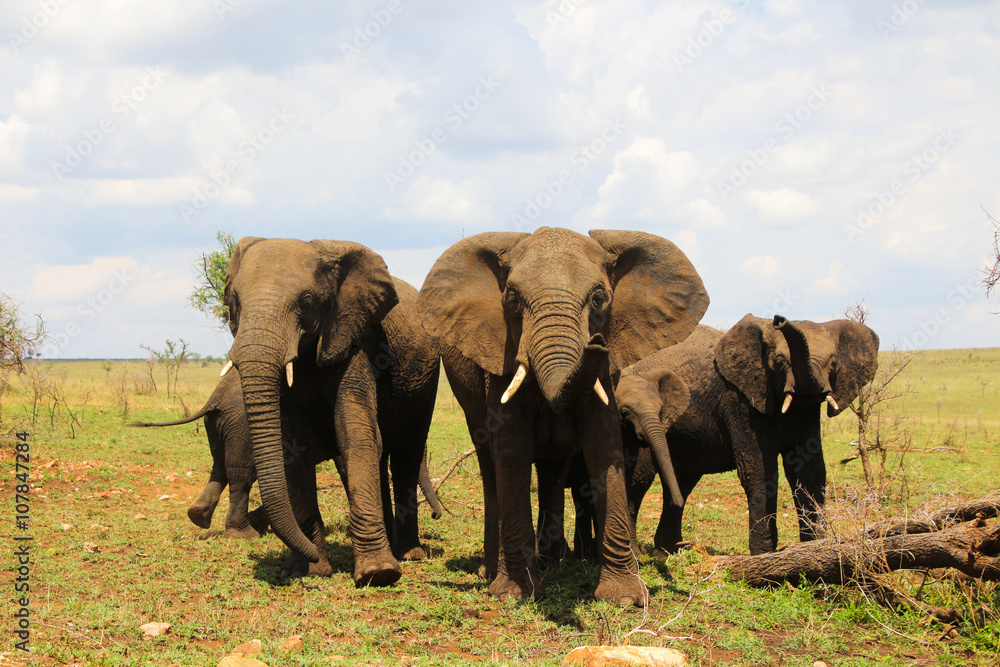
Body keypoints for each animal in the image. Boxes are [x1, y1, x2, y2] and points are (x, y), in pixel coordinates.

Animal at [223, 236, 441, 587]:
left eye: (307, 301)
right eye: (234, 301)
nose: (308, 556)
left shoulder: (354, 341)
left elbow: (355, 435)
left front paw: (379, 574)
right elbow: (292, 448)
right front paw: (305, 570)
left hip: (426, 380)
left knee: (407, 455)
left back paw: (408, 554)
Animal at [418, 227, 708, 605]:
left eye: (599, 299)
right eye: (512, 299)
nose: (596, 342)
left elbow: (604, 445)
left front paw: (625, 598)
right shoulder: (500, 357)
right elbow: (511, 448)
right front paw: (516, 591)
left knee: (552, 471)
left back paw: (556, 564)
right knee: (490, 465)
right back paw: (492, 571)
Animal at [616, 314, 879, 557]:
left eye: (833, 363)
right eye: (779, 362)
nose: (779, 319)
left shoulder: (807, 411)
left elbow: (809, 471)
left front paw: (812, 549)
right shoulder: (741, 401)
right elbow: (760, 471)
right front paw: (764, 555)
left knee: (683, 480)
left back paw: (668, 551)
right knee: (641, 479)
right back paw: (639, 554)